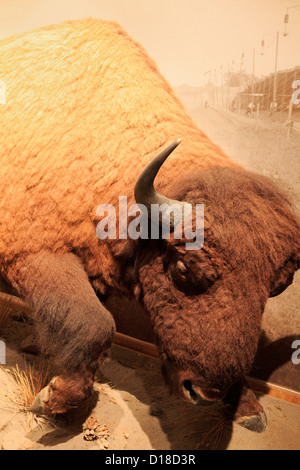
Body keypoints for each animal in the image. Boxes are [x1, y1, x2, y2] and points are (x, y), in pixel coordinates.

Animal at [0, 19, 298, 434]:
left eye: (277, 286)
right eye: (184, 266)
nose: (205, 393)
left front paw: (249, 407)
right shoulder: (34, 254)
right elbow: (94, 325)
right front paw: (53, 399)